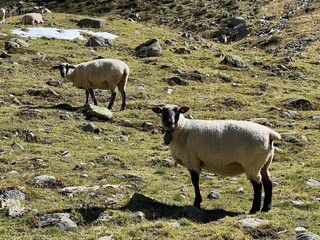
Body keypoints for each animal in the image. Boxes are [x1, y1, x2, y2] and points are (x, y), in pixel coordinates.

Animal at [152, 104, 280, 213]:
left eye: (177, 110)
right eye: (163, 111)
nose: (170, 122)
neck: (182, 128)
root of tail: (269, 134)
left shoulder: (192, 160)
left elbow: (195, 181)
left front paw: (197, 202)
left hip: (252, 163)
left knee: (258, 185)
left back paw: (254, 209)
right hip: (264, 162)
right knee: (268, 183)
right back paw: (266, 208)